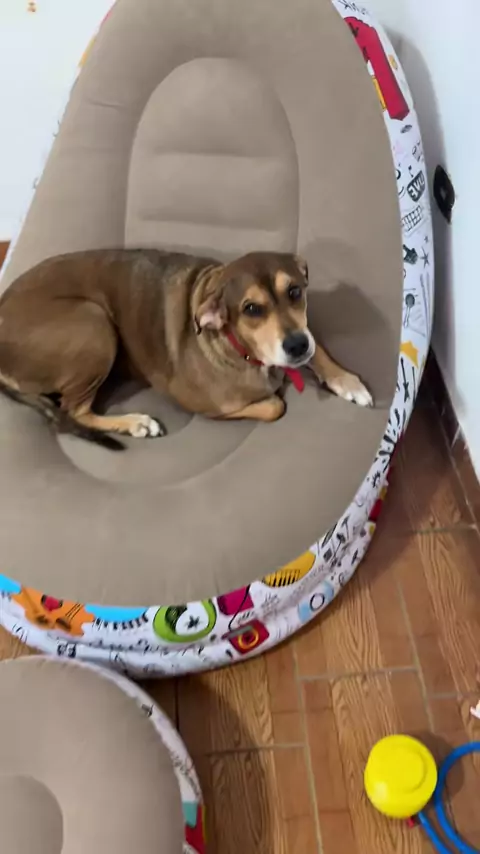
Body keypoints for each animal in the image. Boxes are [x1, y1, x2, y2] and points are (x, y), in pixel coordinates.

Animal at [0, 249, 372, 448]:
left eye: (295, 291)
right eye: (251, 309)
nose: (296, 345)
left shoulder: (304, 334)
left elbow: (319, 348)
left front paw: (347, 382)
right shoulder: (200, 401)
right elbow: (273, 406)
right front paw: (274, 392)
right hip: (92, 321)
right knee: (73, 411)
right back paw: (136, 423)